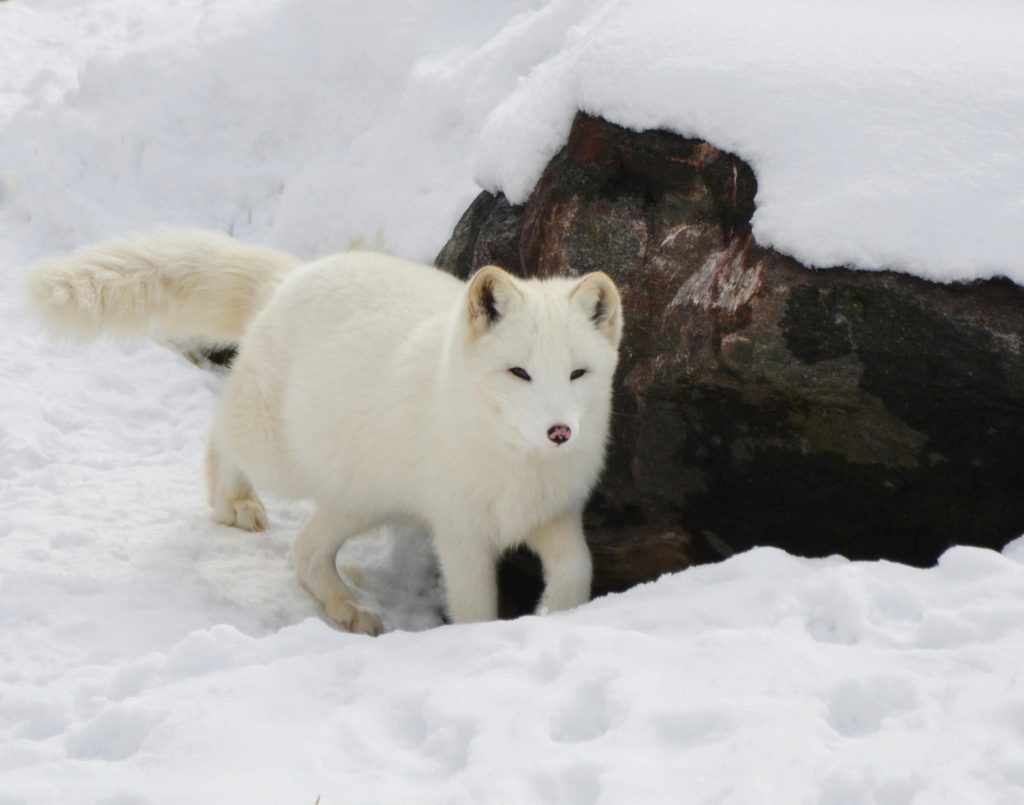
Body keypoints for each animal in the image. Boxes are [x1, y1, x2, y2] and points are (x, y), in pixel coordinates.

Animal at [25, 230, 622, 634]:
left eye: (577, 373)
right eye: (519, 372)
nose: (560, 431)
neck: (516, 464)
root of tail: (290, 278)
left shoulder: (555, 514)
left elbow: (578, 570)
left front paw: (558, 615)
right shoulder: (461, 532)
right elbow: (475, 608)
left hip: (361, 497)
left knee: (305, 553)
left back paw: (347, 608)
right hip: (281, 458)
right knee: (221, 435)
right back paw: (233, 502)